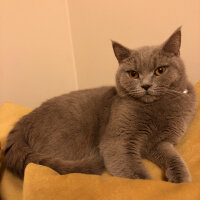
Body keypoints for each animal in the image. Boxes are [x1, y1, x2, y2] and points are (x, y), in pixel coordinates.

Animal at [3, 27, 197, 183]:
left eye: (160, 71)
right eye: (133, 74)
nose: (146, 85)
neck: (155, 109)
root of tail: (25, 120)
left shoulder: (160, 142)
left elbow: (173, 158)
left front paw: (181, 180)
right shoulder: (118, 140)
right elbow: (135, 174)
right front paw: (150, 185)